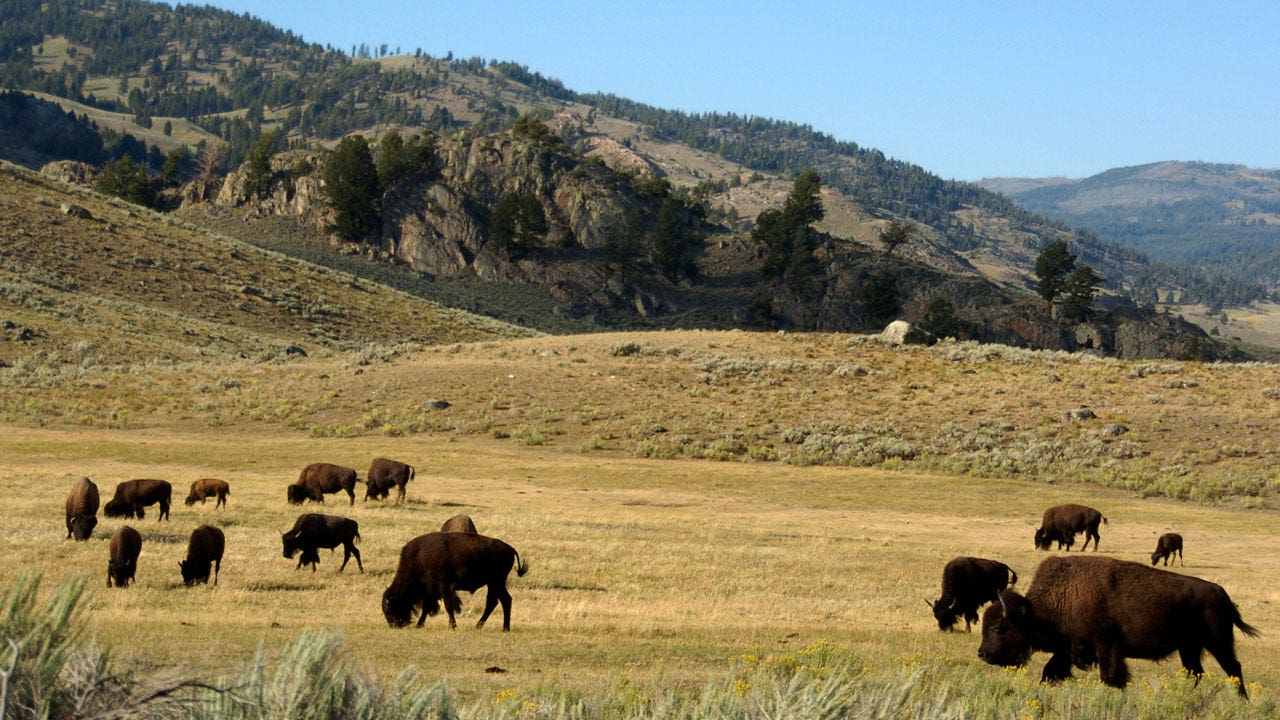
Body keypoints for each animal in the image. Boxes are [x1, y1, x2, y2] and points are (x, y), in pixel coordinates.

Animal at [381, 527, 527, 627]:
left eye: (390, 608)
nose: (394, 625)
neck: (419, 558)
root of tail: (510, 548)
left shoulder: (444, 586)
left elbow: (448, 605)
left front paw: (452, 626)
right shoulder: (431, 590)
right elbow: (426, 607)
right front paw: (419, 625)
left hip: (496, 582)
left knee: (500, 601)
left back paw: (498, 627)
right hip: (494, 583)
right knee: (498, 601)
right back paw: (488, 627)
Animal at [977, 548, 1259, 696]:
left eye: (999, 628)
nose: (982, 654)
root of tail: (1222, 594)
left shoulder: (1106, 647)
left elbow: (1111, 676)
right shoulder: (1068, 648)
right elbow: (1051, 672)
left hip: (1218, 642)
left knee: (1233, 668)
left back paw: (1241, 700)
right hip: (1189, 647)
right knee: (1195, 672)